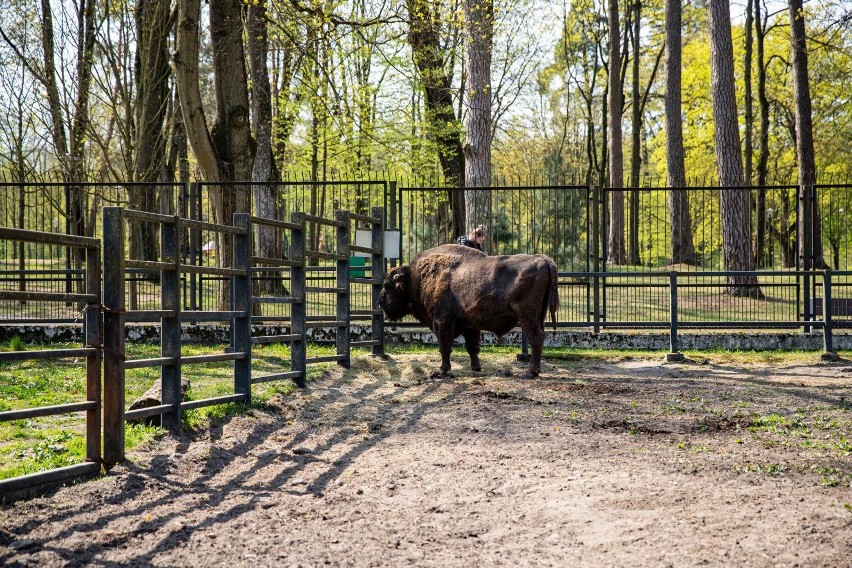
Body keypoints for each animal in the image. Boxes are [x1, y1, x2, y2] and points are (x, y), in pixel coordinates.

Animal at [380, 244, 560, 378]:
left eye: (387, 286)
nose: (379, 302)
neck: (415, 279)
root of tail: (543, 260)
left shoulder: (442, 321)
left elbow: (445, 346)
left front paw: (444, 370)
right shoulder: (470, 325)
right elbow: (472, 347)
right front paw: (476, 368)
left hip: (526, 315)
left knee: (536, 338)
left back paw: (531, 372)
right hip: (540, 315)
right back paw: (535, 370)